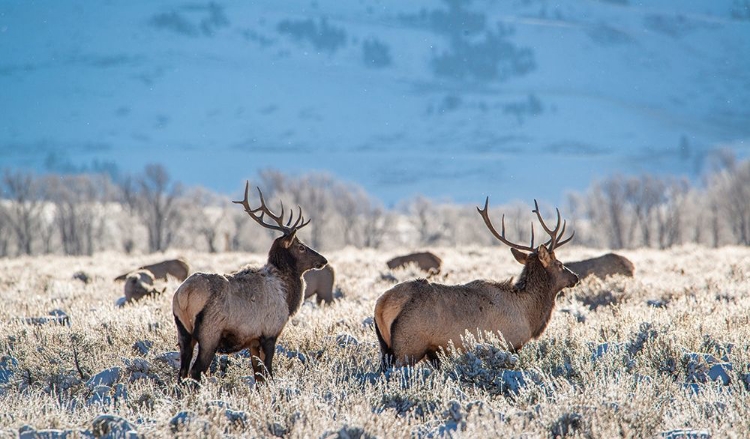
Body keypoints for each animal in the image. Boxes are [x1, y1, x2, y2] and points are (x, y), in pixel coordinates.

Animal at [176, 184, 328, 384]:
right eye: (301, 247)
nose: (323, 260)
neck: (287, 296)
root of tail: (184, 295)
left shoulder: (253, 341)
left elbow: (258, 376)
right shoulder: (270, 333)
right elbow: (268, 372)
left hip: (183, 332)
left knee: (181, 372)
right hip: (209, 333)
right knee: (195, 371)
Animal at [376, 199, 580, 368]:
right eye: (559, 264)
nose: (575, 277)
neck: (528, 314)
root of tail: (382, 303)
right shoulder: (509, 343)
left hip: (386, 348)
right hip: (408, 346)